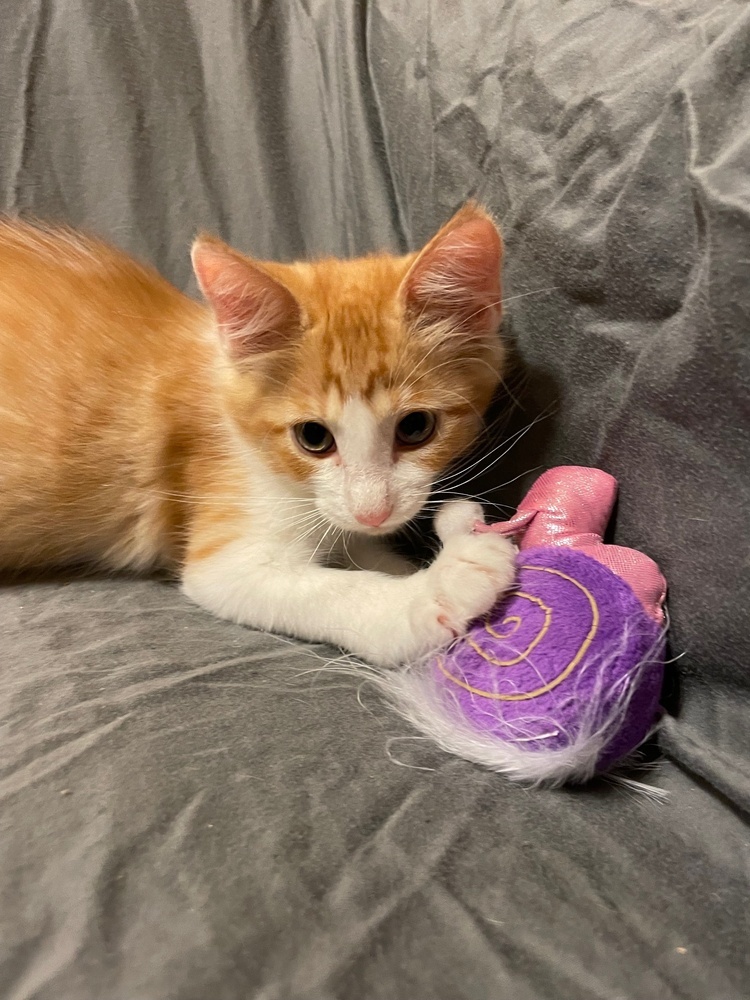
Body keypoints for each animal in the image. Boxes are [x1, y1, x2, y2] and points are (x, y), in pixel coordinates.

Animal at [0, 205, 516, 664]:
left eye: (415, 428)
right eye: (313, 437)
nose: (373, 513)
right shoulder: (222, 533)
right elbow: (315, 588)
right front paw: (430, 590)